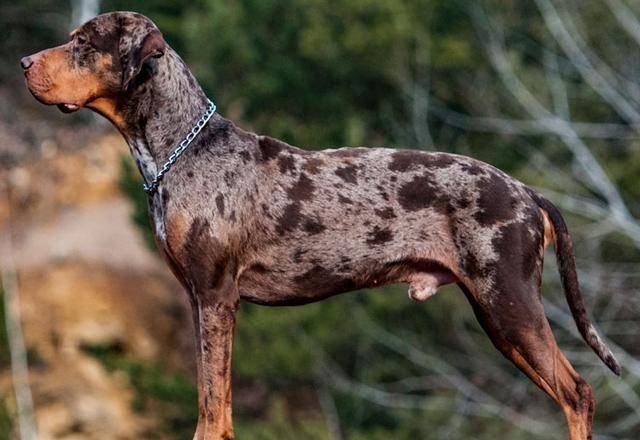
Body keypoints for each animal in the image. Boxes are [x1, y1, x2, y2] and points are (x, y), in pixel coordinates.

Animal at [21, 10, 620, 440]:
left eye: (82, 41)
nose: (24, 61)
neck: (180, 149)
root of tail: (528, 192)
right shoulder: (199, 300)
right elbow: (216, 403)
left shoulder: (216, 296)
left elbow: (213, 408)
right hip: (500, 315)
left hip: (508, 303)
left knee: (579, 394)